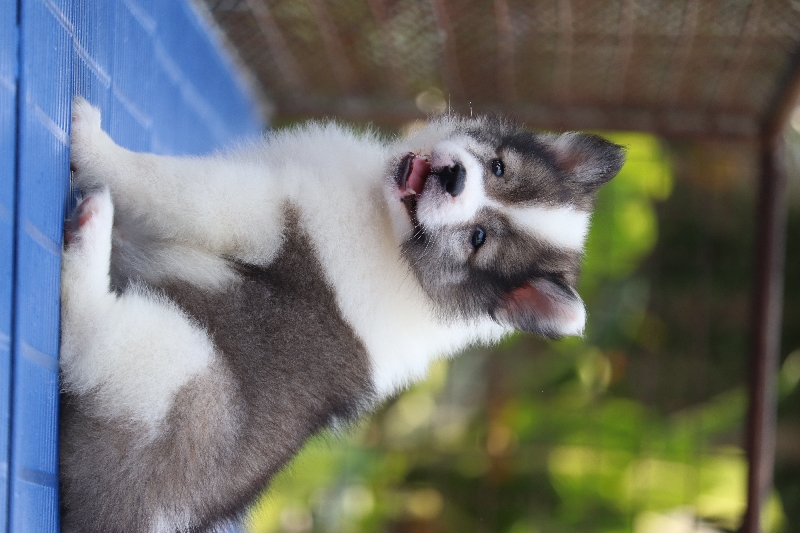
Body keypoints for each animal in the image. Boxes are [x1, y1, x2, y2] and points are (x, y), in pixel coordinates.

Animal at [60, 97, 624, 532]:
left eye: (478, 240)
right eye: (500, 167)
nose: (453, 176)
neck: (397, 245)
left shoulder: (256, 211)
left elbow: (167, 184)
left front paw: (92, 144)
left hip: (185, 366)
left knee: (85, 339)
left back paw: (91, 232)